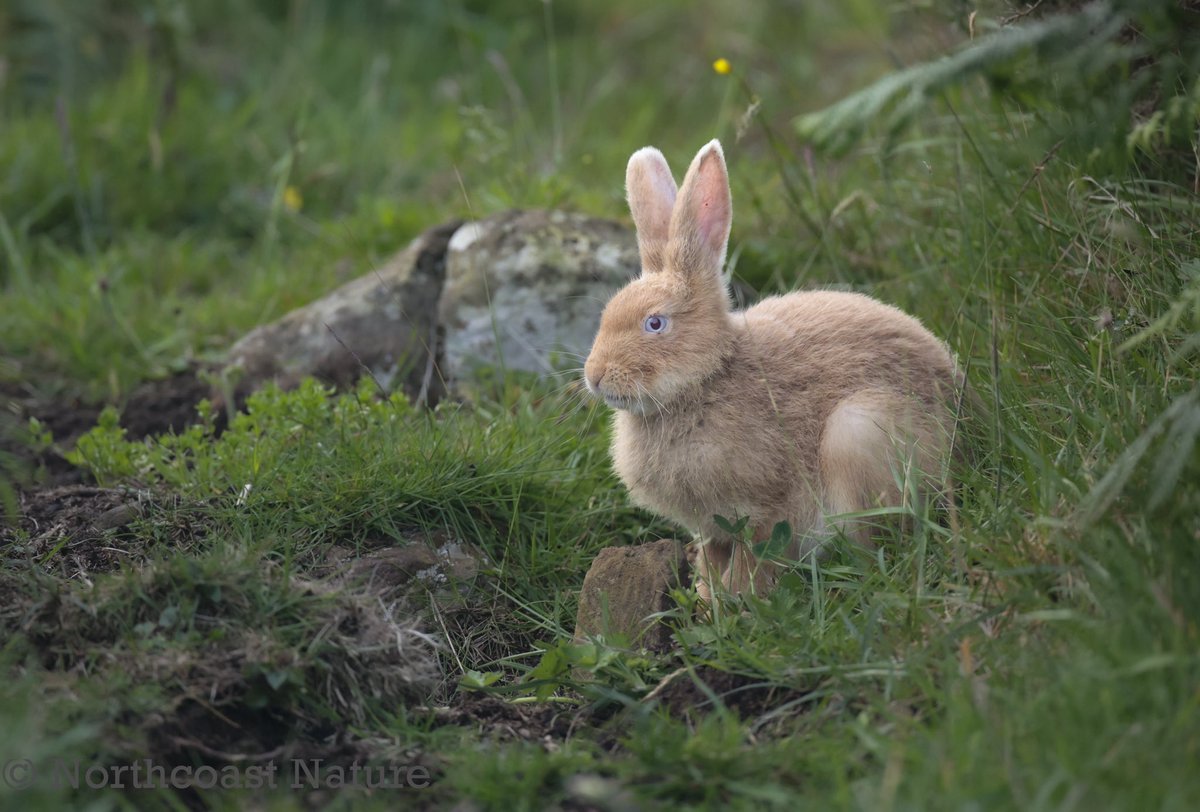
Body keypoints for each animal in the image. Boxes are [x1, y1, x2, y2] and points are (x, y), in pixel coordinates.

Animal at [583, 139, 961, 601]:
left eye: (655, 323)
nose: (595, 376)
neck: (707, 378)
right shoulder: (712, 529)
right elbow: (713, 559)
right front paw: (707, 600)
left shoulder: (768, 506)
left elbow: (756, 557)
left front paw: (736, 599)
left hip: (857, 432)